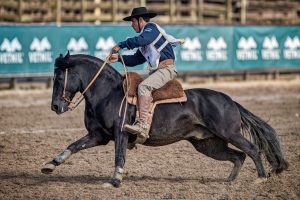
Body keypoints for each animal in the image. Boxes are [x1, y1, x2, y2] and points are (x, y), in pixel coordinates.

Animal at [42, 52, 288, 188]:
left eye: (59, 77)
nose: (55, 106)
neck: (108, 93)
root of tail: (230, 101)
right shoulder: (98, 136)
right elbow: (73, 145)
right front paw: (50, 165)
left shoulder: (121, 133)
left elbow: (119, 157)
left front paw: (115, 181)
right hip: (209, 144)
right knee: (238, 156)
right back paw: (229, 180)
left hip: (230, 134)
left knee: (252, 149)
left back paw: (261, 178)